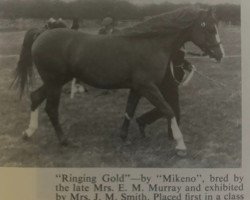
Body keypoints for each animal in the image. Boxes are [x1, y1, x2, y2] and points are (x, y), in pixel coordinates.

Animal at [13, 6, 225, 156]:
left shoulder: (137, 88)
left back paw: (28, 132)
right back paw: (64, 140)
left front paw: (123, 136)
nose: (220, 54)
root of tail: (42, 33)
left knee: (35, 97)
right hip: (55, 83)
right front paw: (180, 145)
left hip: (54, 82)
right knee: (51, 109)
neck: (149, 43)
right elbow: (168, 110)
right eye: (210, 28)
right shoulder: (148, 87)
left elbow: (129, 110)